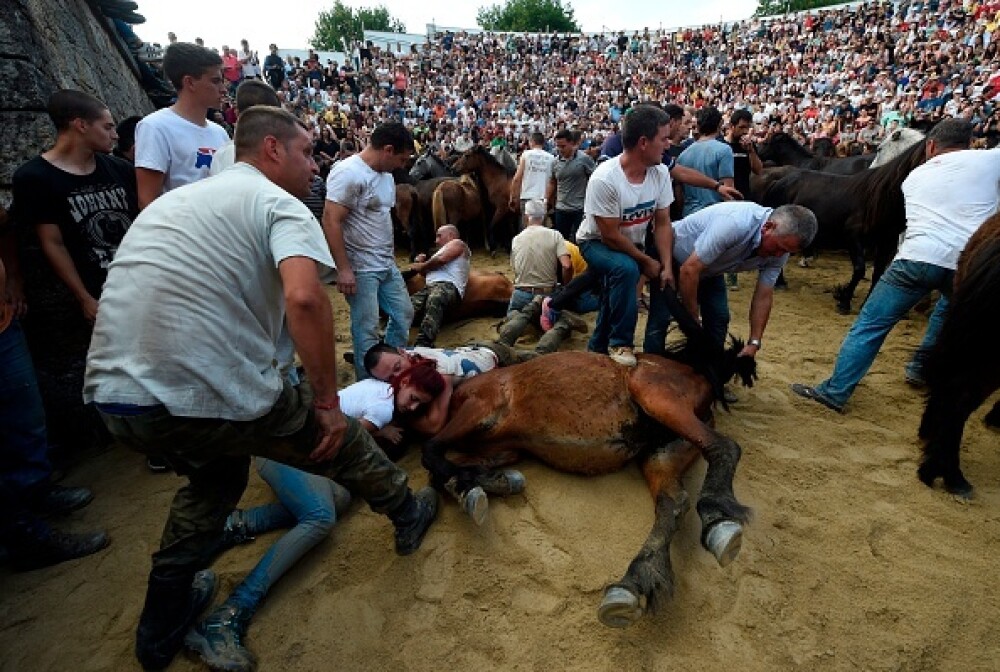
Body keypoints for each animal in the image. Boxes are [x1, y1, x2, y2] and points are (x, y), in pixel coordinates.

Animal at [422, 290, 756, 632]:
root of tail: (697, 370)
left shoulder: (480, 406)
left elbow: (432, 454)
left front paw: (471, 488)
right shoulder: (504, 450)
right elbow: (447, 468)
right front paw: (494, 482)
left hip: (658, 397)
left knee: (723, 447)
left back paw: (715, 515)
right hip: (663, 449)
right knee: (673, 501)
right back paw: (637, 580)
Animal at [764, 140, 928, 314]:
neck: (877, 199)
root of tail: (777, 182)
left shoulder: (886, 242)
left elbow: (878, 272)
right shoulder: (854, 238)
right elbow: (859, 269)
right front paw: (844, 301)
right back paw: (780, 283)